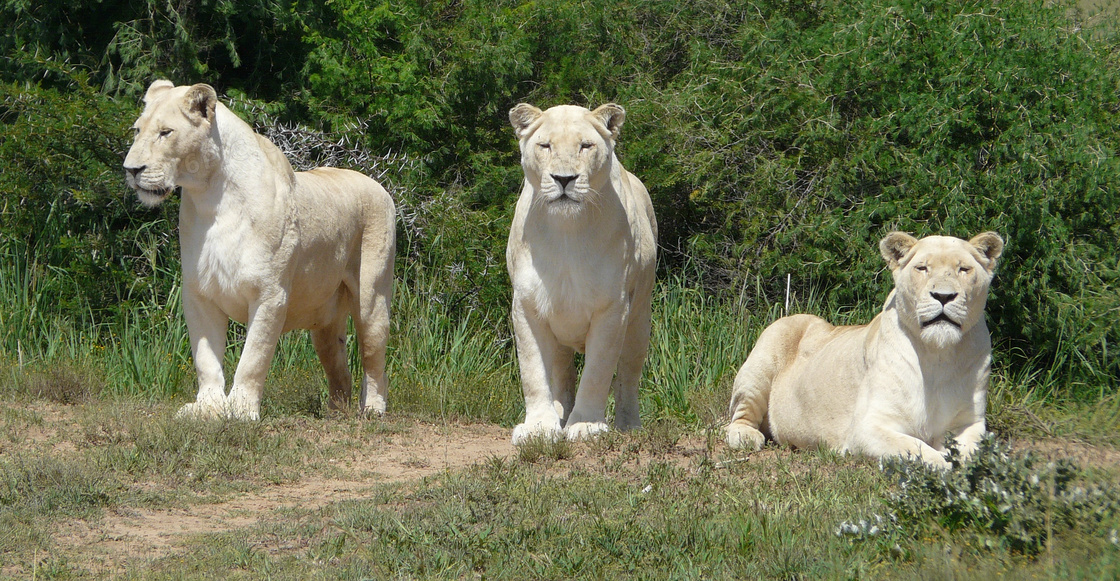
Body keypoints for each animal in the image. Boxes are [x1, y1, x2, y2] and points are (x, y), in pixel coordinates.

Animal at [124, 79, 396, 420]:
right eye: (137, 130)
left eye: (165, 132)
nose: (131, 169)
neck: (211, 198)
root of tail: (378, 185)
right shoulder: (199, 293)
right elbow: (206, 358)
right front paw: (207, 407)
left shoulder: (270, 293)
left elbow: (253, 356)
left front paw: (241, 409)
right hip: (324, 321)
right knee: (339, 368)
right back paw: (336, 411)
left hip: (372, 298)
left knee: (374, 360)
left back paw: (372, 408)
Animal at [506, 102, 654, 443]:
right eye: (545, 145)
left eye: (585, 146)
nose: (564, 179)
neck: (566, 230)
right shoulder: (526, 306)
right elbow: (533, 369)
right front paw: (539, 427)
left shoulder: (613, 308)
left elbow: (598, 371)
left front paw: (585, 425)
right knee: (562, 374)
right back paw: (560, 415)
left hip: (639, 321)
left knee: (628, 376)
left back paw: (629, 425)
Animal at [725, 231, 1008, 467]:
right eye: (922, 268)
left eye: (963, 269)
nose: (944, 296)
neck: (938, 354)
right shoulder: (867, 428)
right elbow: (916, 448)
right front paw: (945, 466)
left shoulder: (969, 423)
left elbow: (973, 451)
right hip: (763, 360)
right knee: (739, 417)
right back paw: (745, 436)